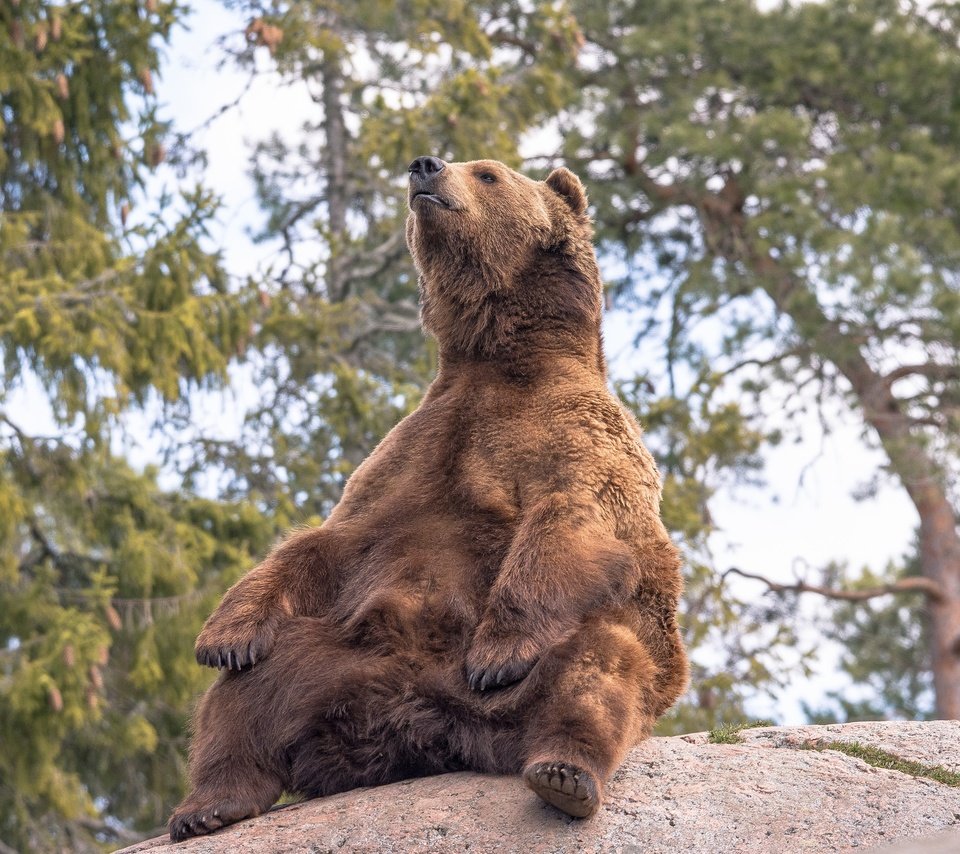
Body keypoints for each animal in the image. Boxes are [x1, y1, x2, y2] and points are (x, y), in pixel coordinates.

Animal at [167, 155, 688, 844]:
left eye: (488, 173)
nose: (424, 166)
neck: (497, 354)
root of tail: (424, 730)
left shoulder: (579, 434)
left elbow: (574, 520)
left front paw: (497, 653)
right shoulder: (415, 444)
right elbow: (330, 539)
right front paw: (223, 636)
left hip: (556, 674)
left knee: (600, 665)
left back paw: (564, 772)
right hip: (325, 660)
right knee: (243, 699)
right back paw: (210, 804)